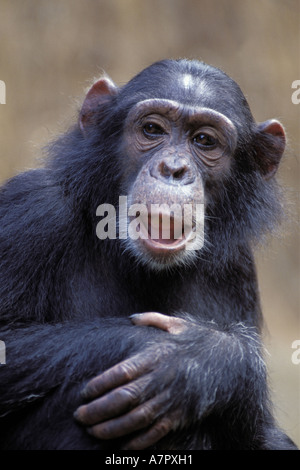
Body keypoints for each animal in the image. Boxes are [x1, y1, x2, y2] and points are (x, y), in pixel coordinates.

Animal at [0, 60, 296, 450]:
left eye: (205, 140)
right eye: (152, 129)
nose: (174, 168)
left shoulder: (237, 266)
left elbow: (259, 431)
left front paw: (203, 360)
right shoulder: (30, 209)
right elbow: (7, 343)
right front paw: (174, 353)